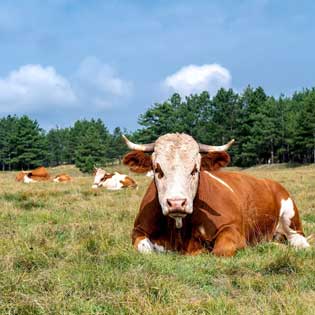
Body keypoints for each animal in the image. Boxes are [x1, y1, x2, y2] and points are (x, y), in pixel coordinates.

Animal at [121, 133, 312, 256]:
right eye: (157, 169)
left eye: (195, 169)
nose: (176, 203)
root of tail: (271, 182)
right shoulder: (138, 230)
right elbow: (145, 249)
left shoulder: (232, 228)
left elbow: (220, 250)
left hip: (290, 216)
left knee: (298, 239)